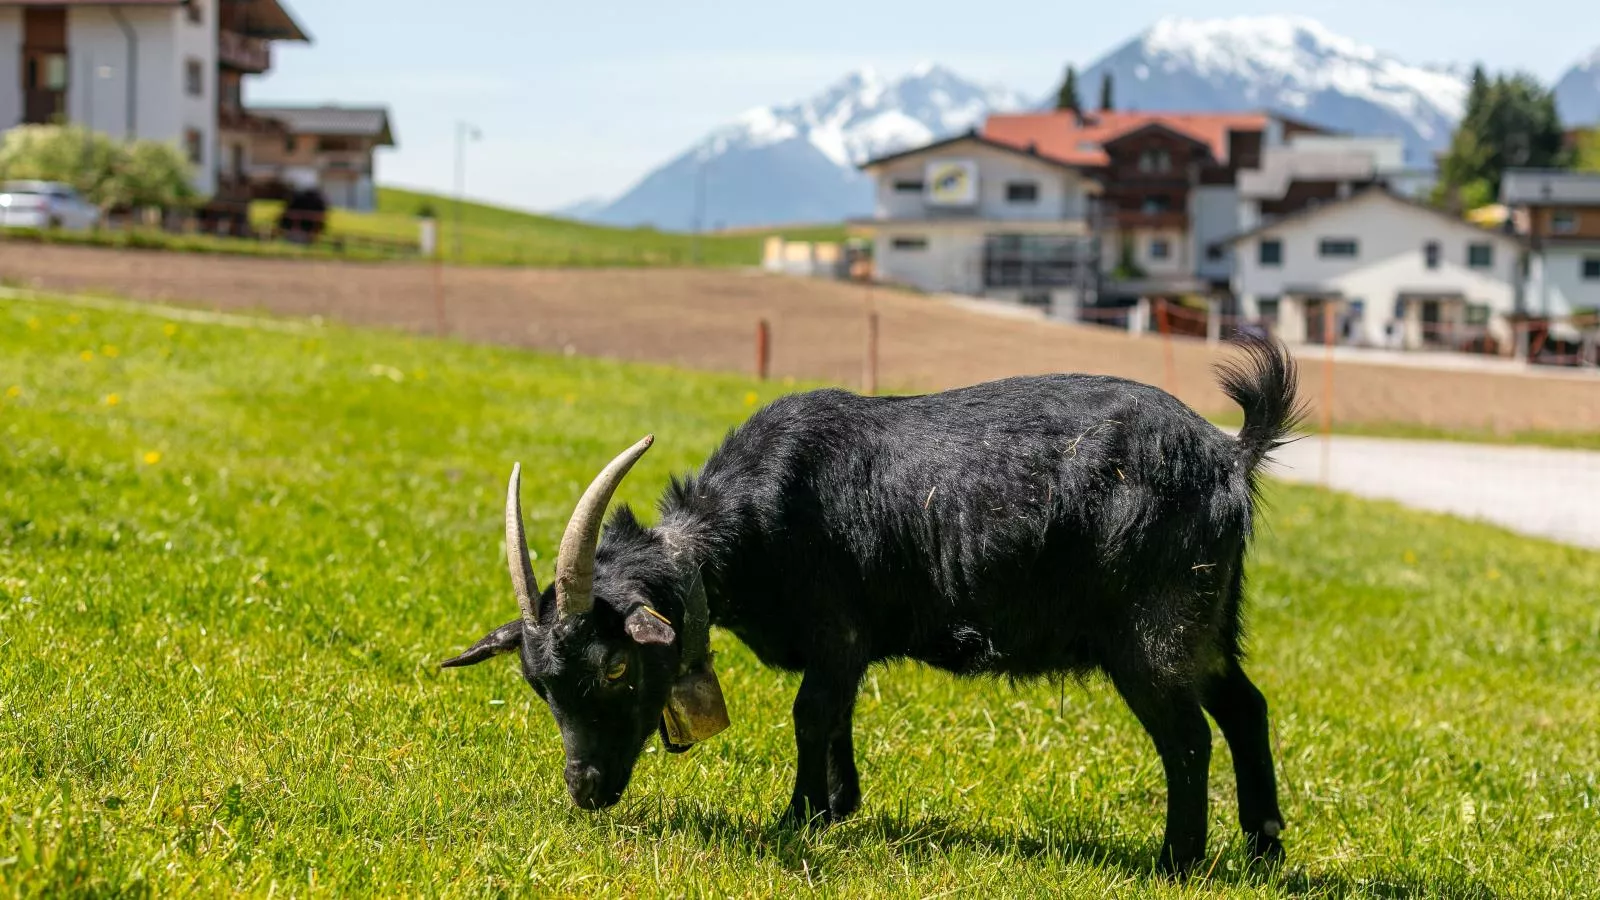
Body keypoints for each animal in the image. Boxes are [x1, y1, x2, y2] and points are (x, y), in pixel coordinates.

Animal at [438, 331, 1299, 871]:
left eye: (615, 668)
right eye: (535, 684)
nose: (586, 791)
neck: (749, 525)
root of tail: (1230, 453)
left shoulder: (835, 632)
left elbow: (809, 714)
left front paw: (795, 818)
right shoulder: (843, 647)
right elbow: (836, 716)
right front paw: (837, 807)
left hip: (1154, 629)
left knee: (1188, 736)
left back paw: (1177, 861)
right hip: (1208, 620)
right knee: (1245, 707)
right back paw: (1264, 849)